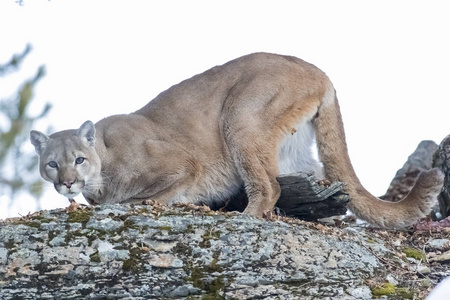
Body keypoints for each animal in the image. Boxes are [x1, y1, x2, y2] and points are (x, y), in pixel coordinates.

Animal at [29, 52, 444, 229]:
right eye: (52, 163)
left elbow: (147, 196)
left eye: (78, 159)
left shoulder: (183, 165)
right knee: (318, 180)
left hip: (240, 117)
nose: (68, 182)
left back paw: (246, 216)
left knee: (269, 185)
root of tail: (318, 70)